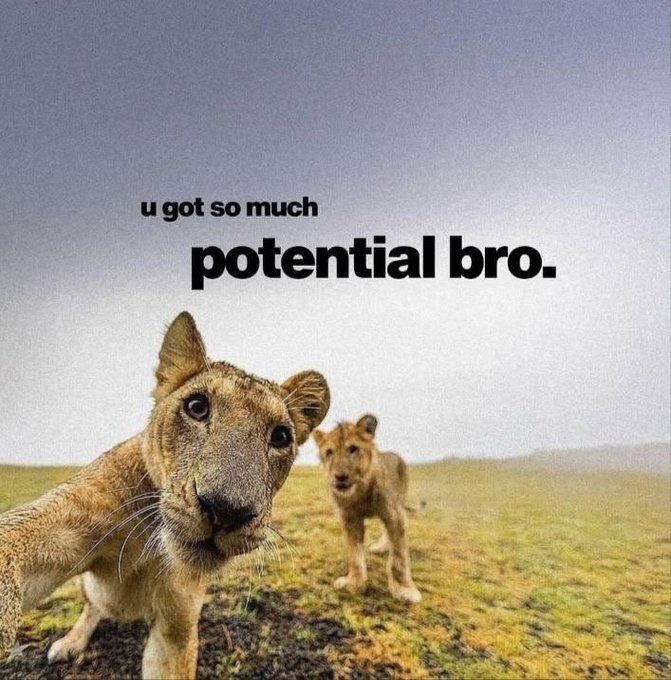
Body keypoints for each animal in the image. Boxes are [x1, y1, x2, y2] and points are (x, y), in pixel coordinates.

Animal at [0, 311, 330, 679]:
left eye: (281, 436)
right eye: (197, 407)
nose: (226, 510)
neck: (152, 541)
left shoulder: (176, 627)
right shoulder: (67, 521)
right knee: (92, 608)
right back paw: (70, 643)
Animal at [312, 415, 421, 603]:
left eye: (353, 449)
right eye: (329, 452)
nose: (340, 477)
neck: (360, 492)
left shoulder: (394, 515)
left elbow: (399, 557)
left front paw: (405, 590)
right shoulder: (349, 519)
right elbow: (354, 555)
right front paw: (354, 583)